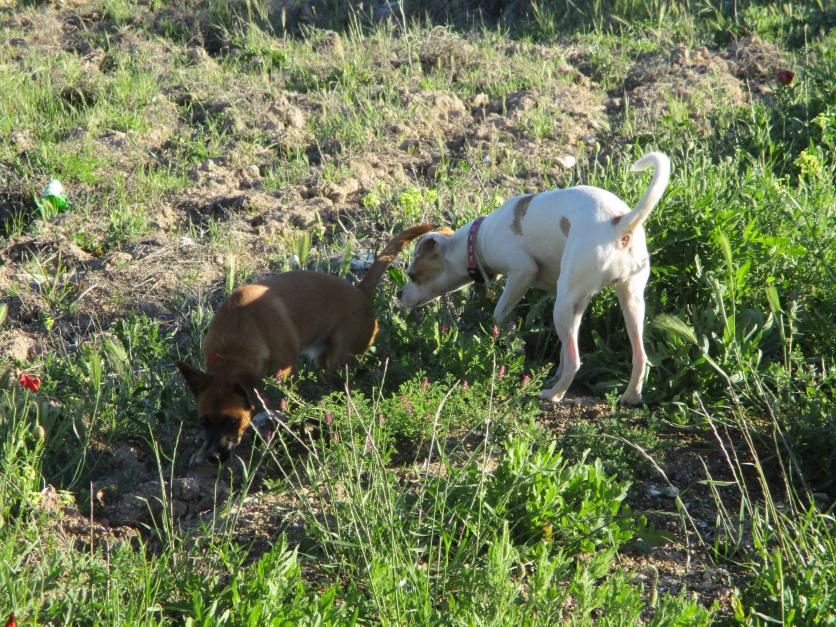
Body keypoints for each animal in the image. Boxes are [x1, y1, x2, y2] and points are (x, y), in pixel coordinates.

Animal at [177, 224, 435, 464]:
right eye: (203, 421)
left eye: (232, 421)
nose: (213, 457)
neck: (233, 348)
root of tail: (360, 292)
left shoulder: (285, 372)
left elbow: (283, 404)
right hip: (324, 360)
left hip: (339, 359)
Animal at [397, 152, 670, 405]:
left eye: (412, 274)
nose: (398, 295)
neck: (477, 240)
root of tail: (619, 224)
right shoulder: (575, 300)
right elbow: (563, 347)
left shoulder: (522, 271)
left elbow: (499, 312)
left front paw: (501, 339)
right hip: (627, 301)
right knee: (638, 355)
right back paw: (631, 396)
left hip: (563, 305)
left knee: (575, 361)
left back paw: (554, 394)